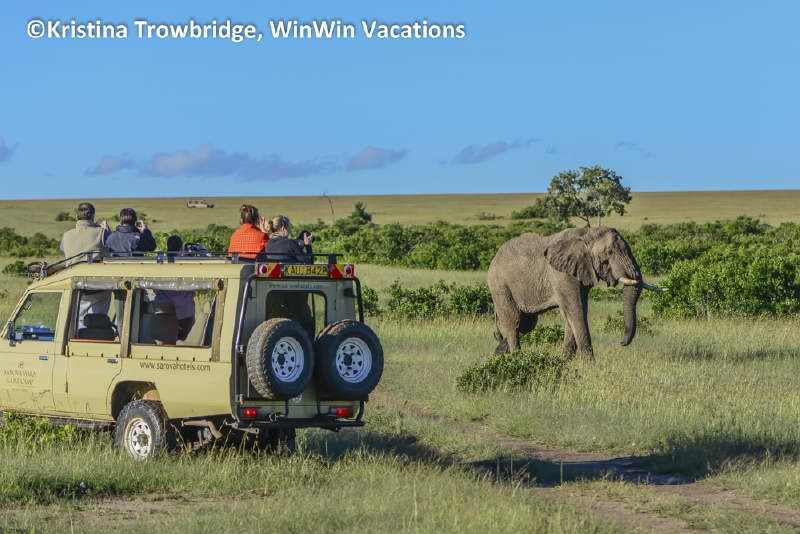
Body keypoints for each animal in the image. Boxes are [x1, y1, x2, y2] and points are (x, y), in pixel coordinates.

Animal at [487, 226, 666, 357]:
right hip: (500, 286)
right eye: (609, 253)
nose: (622, 343)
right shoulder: (561, 274)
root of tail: (493, 258)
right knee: (514, 323)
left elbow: (575, 313)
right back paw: (516, 358)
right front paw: (589, 364)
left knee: (527, 324)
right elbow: (576, 311)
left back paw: (498, 356)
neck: (587, 233)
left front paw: (565, 359)